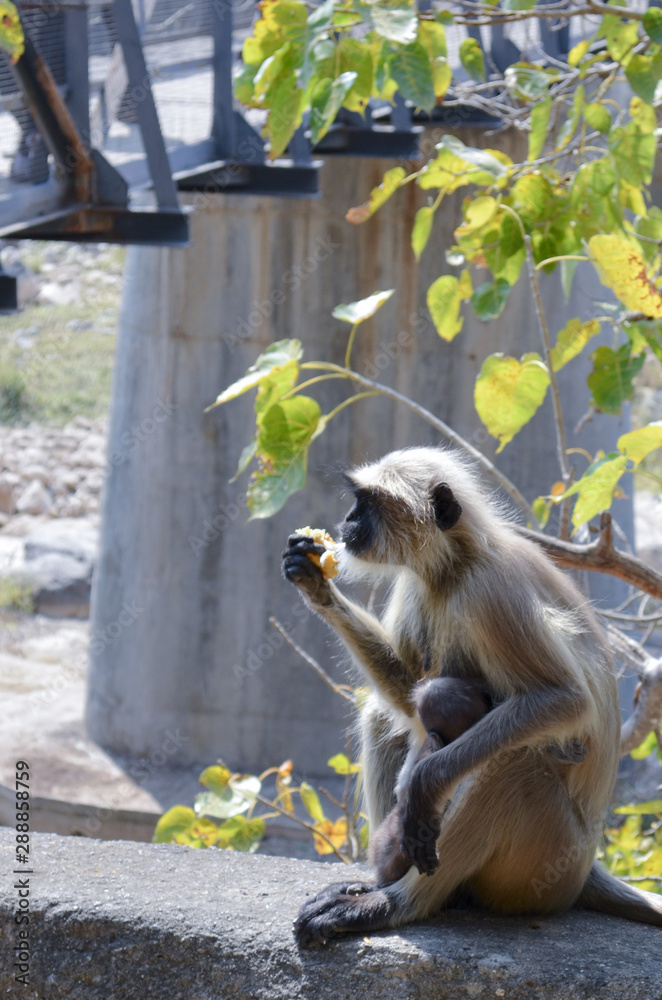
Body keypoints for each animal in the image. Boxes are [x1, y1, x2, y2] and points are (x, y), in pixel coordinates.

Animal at [281, 447, 662, 946]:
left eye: (368, 504)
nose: (347, 520)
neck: (456, 565)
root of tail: (585, 869)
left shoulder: (490, 590)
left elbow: (563, 700)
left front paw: (424, 784)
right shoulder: (419, 582)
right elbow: (411, 698)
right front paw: (314, 581)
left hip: (548, 861)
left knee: (513, 762)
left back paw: (391, 903)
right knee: (384, 716)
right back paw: (385, 879)